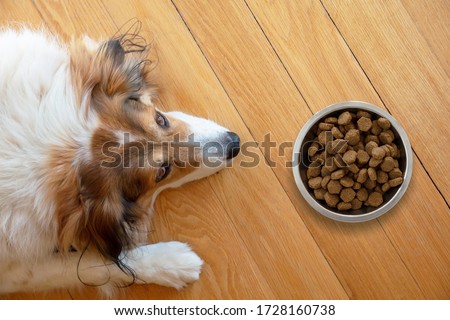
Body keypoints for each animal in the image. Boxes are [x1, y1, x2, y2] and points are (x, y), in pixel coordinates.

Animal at [0, 26, 239, 296]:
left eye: (160, 119)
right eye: (162, 171)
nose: (235, 144)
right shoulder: (14, 268)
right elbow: (95, 263)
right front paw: (172, 263)